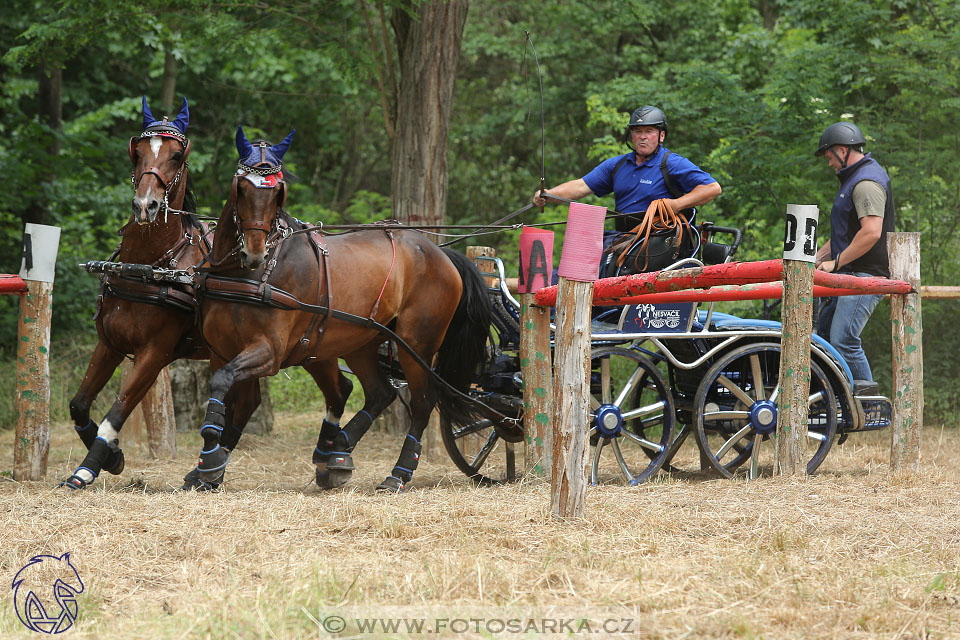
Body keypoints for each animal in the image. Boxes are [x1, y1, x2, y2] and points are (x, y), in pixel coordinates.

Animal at [195, 127, 496, 492]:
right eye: (241, 187)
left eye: (279, 192)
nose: (255, 253)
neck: (245, 276)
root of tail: (439, 253)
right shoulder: (220, 351)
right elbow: (228, 393)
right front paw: (207, 463)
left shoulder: (268, 352)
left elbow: (227, 387)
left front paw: (211, 454)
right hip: (361, 342)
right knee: (380, 393)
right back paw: (338, 450)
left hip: (416, 343)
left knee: (423, 402)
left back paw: (397, 473)